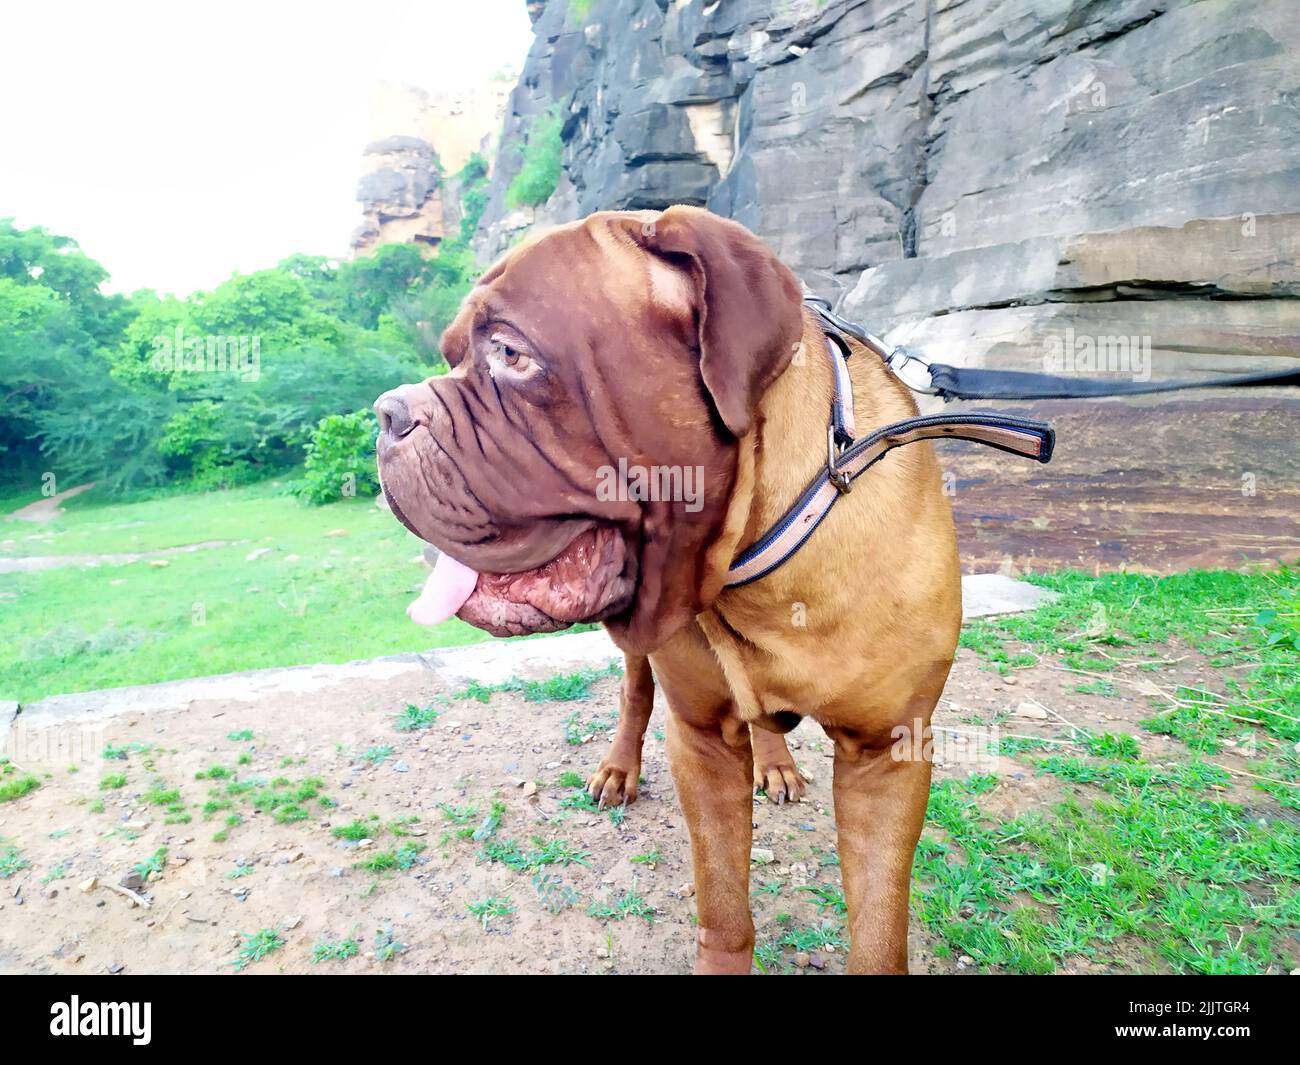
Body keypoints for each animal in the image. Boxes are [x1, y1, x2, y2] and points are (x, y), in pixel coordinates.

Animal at [371, 206, 961, 972]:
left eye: (508, 352)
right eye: (451, 357)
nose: (384, 414)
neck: (758, 567)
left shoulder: (885, 755)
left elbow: (880, 930)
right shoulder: (701, 740)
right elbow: (724, 908)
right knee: (635, 694)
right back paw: (619, 770)